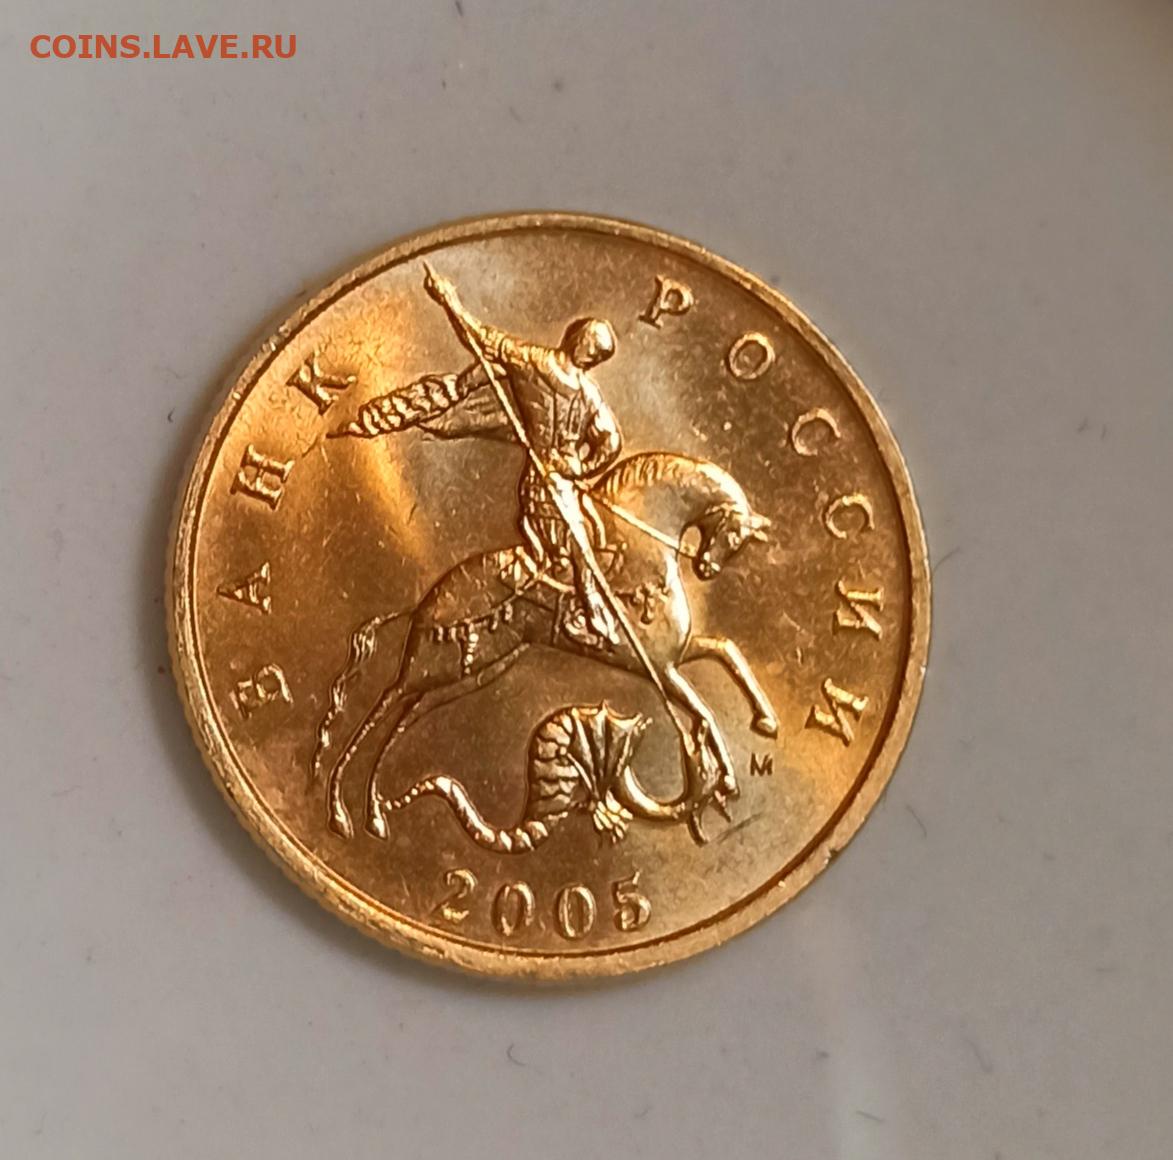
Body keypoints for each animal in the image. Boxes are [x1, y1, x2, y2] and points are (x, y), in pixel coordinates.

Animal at [313, 451, 776, 845]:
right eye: (733, 533)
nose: (707, 568)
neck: (639, 557)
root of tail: (425, 602)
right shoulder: (661, 670)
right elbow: (704, 710)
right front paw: (728, 777)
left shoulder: (674, 658)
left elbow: (726, 652)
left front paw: (765, 720)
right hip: (430, 666)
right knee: (380, 708)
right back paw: (340, 809)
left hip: (472, 672)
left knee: (401, 721)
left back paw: (374, 813)